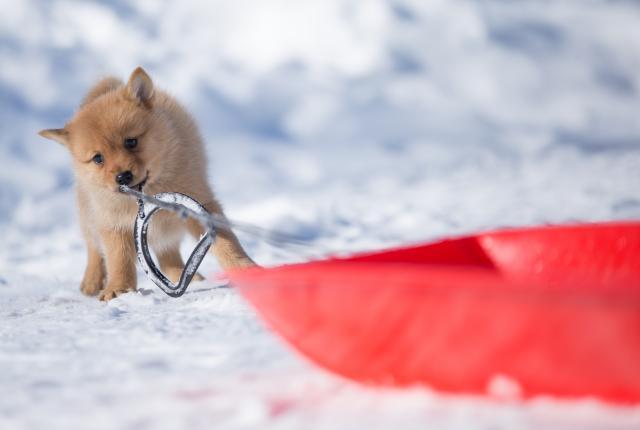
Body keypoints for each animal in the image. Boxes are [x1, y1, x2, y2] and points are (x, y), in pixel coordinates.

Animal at [38, 68, 255, 302]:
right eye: (98, 158)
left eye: (131, 142)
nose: (122, 177)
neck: (149, 192)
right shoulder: (112, 222)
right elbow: (118, 258)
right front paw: (119, 288)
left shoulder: (200, 202)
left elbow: (226, 242)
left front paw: (247, 269)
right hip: (89, 215)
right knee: (93, 248)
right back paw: (91, 281)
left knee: (167, 252)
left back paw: (182, 275)